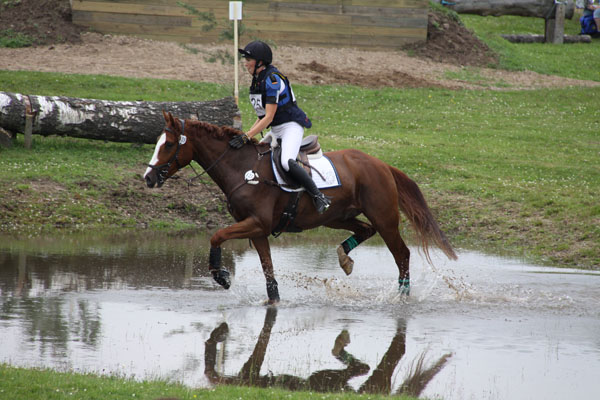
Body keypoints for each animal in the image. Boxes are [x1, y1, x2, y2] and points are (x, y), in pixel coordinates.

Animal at [143, 111, 458, 304]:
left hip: (385, 218)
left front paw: (221, 276)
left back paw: (402, 297)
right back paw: (344, 257)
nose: (148, 178)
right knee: (364, 231)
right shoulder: (257, 230)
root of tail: (381, 164)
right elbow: (267, 269)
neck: (243, 169)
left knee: (401, 254)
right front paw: (272, 301)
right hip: (336, 217)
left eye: (168, 144)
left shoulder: (257, 223)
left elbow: (216, 235)